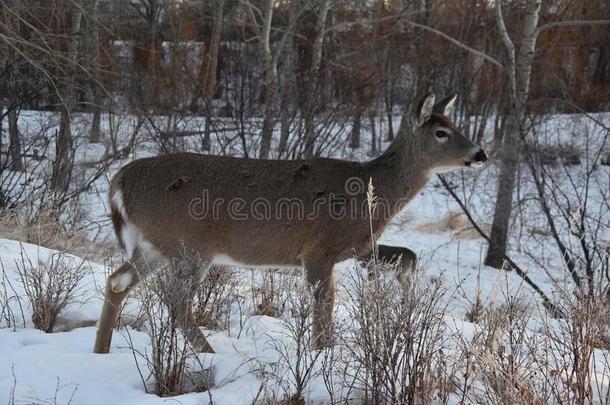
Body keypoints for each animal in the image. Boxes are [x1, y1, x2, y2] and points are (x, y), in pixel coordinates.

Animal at [92, 93, 486, 352]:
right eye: (441, 133)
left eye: (456, 125)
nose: (480, 153)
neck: (372, 192)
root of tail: (118, 181)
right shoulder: (318, 248)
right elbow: (324, 304)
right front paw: (320, 354)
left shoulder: (358, 247)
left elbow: (408, 256)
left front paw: (404, 298)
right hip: (189, 245)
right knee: (175, 303)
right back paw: (208, 355)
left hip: (155, 246)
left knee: (117, 282)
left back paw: (101, 350)